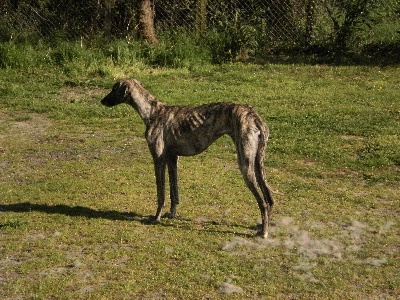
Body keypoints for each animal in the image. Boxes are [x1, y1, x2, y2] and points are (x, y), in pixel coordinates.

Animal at [101, 80, 274, 239]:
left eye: (114, 89)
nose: (102, 101)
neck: (153, 112)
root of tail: (255, 117)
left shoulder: (158, 159)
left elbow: (161, 194)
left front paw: (156, 218)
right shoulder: (172, 158)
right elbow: (174, 191)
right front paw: (171, 214)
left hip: (245, 164)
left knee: (263, 202)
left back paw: (264, 232)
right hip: (258, 163)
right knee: (269, 197)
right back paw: (262, 226)